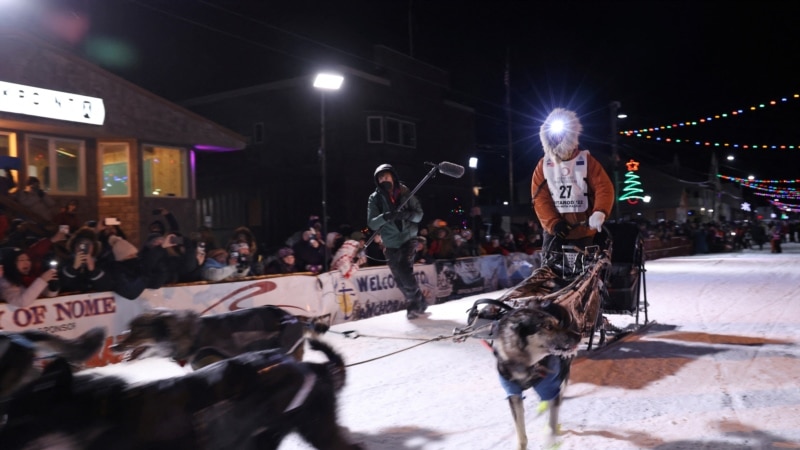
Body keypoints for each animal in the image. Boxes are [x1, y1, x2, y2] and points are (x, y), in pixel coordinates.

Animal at [490, 302, 584, 450]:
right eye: (548, 327)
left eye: (557, 323)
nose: (579, 336)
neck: (526, 365)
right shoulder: (513, 395)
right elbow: (521, 433)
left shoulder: (551, 388)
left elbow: (551, 423)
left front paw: (551, 439)